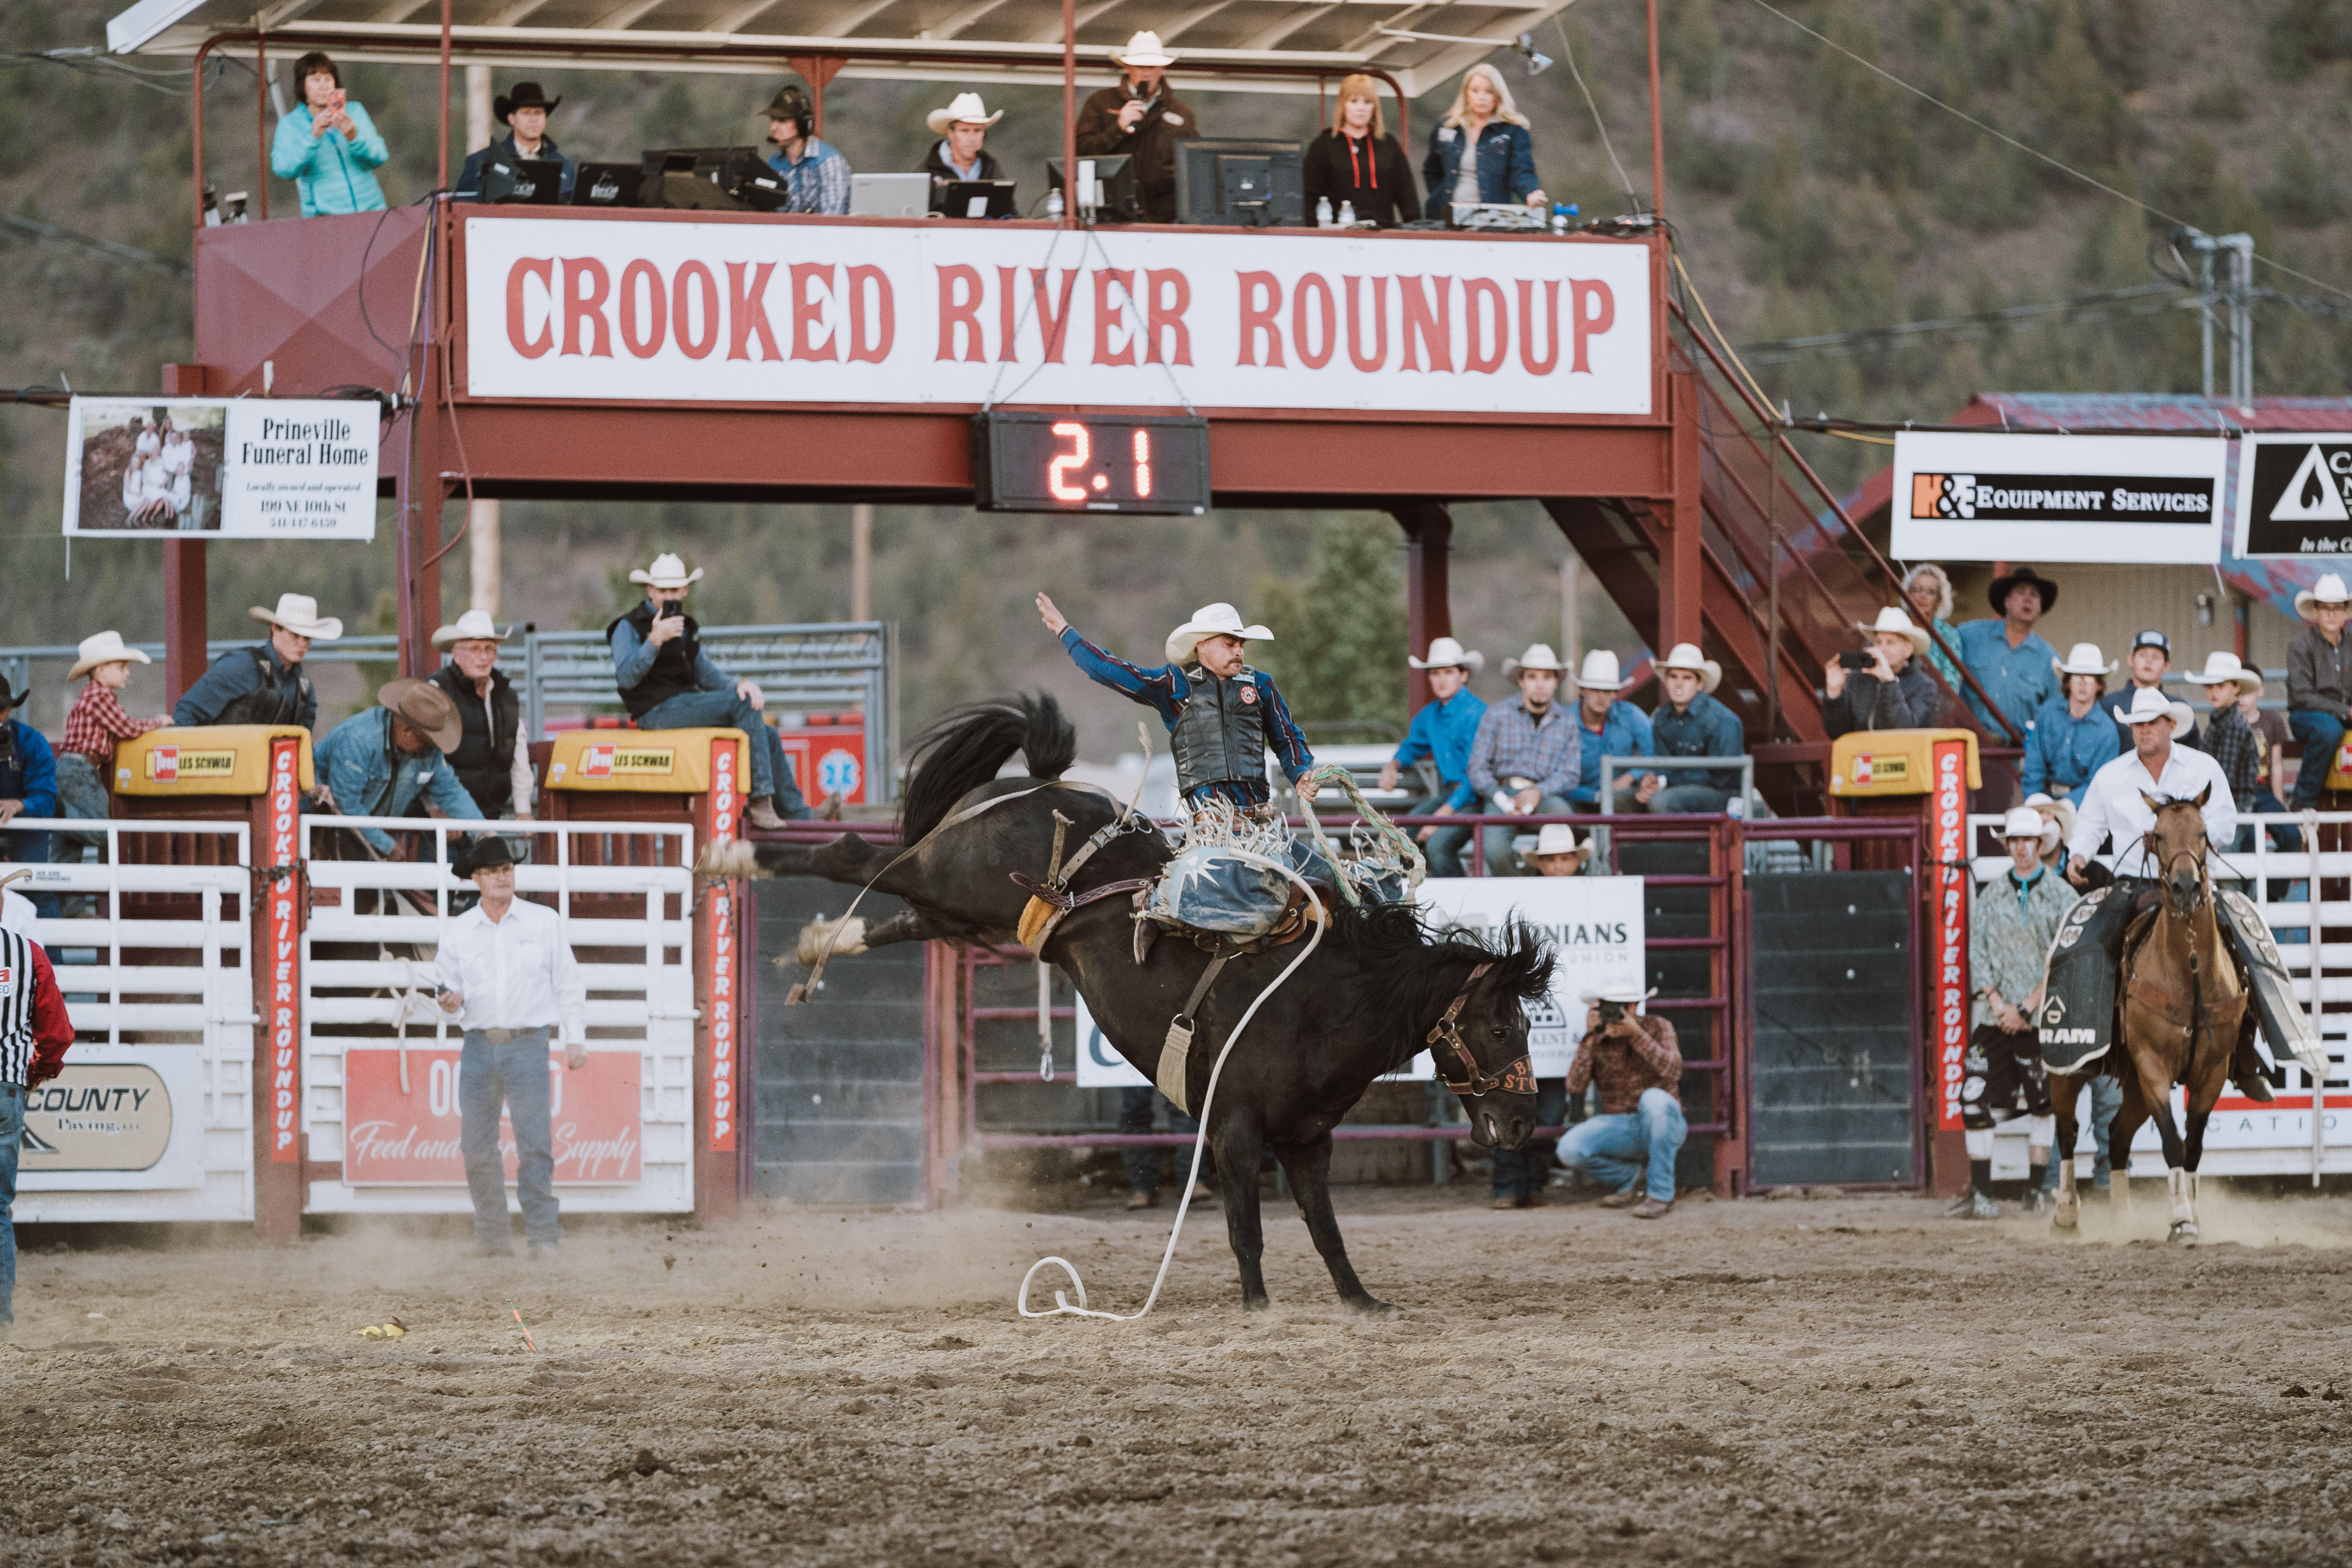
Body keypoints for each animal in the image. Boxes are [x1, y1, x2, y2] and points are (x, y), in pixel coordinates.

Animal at [700, 693, 1553, 1312]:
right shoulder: (1234, 1131)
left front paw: (1361, 1300)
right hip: (952, 874)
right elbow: (1247, 1229)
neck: (1321, 1004)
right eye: (1500, 1022)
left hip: (965, 910)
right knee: (856, 855)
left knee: (901, 914)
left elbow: (1326, 1231)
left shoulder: (1307, 1143)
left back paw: (813, 942)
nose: (1520, 1124)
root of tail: (1040, 784)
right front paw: (1257, 1306)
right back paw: (731, 851)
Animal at [2051, 788, 2247, 1242]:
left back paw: (2122, 1219)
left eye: (2203, 832)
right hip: (2070, 1067)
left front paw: (2193, 1212)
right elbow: (2173, 1142)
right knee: (2067, 1131)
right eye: (2157, 835)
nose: (2185, 886)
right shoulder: (2153, 1068)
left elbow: (2193, 1146)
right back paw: (2066, 1213)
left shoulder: (2211, 1073)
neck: (2189, 967)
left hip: (2134, 1087)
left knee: (2116, 1137)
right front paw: (2180, 1218)